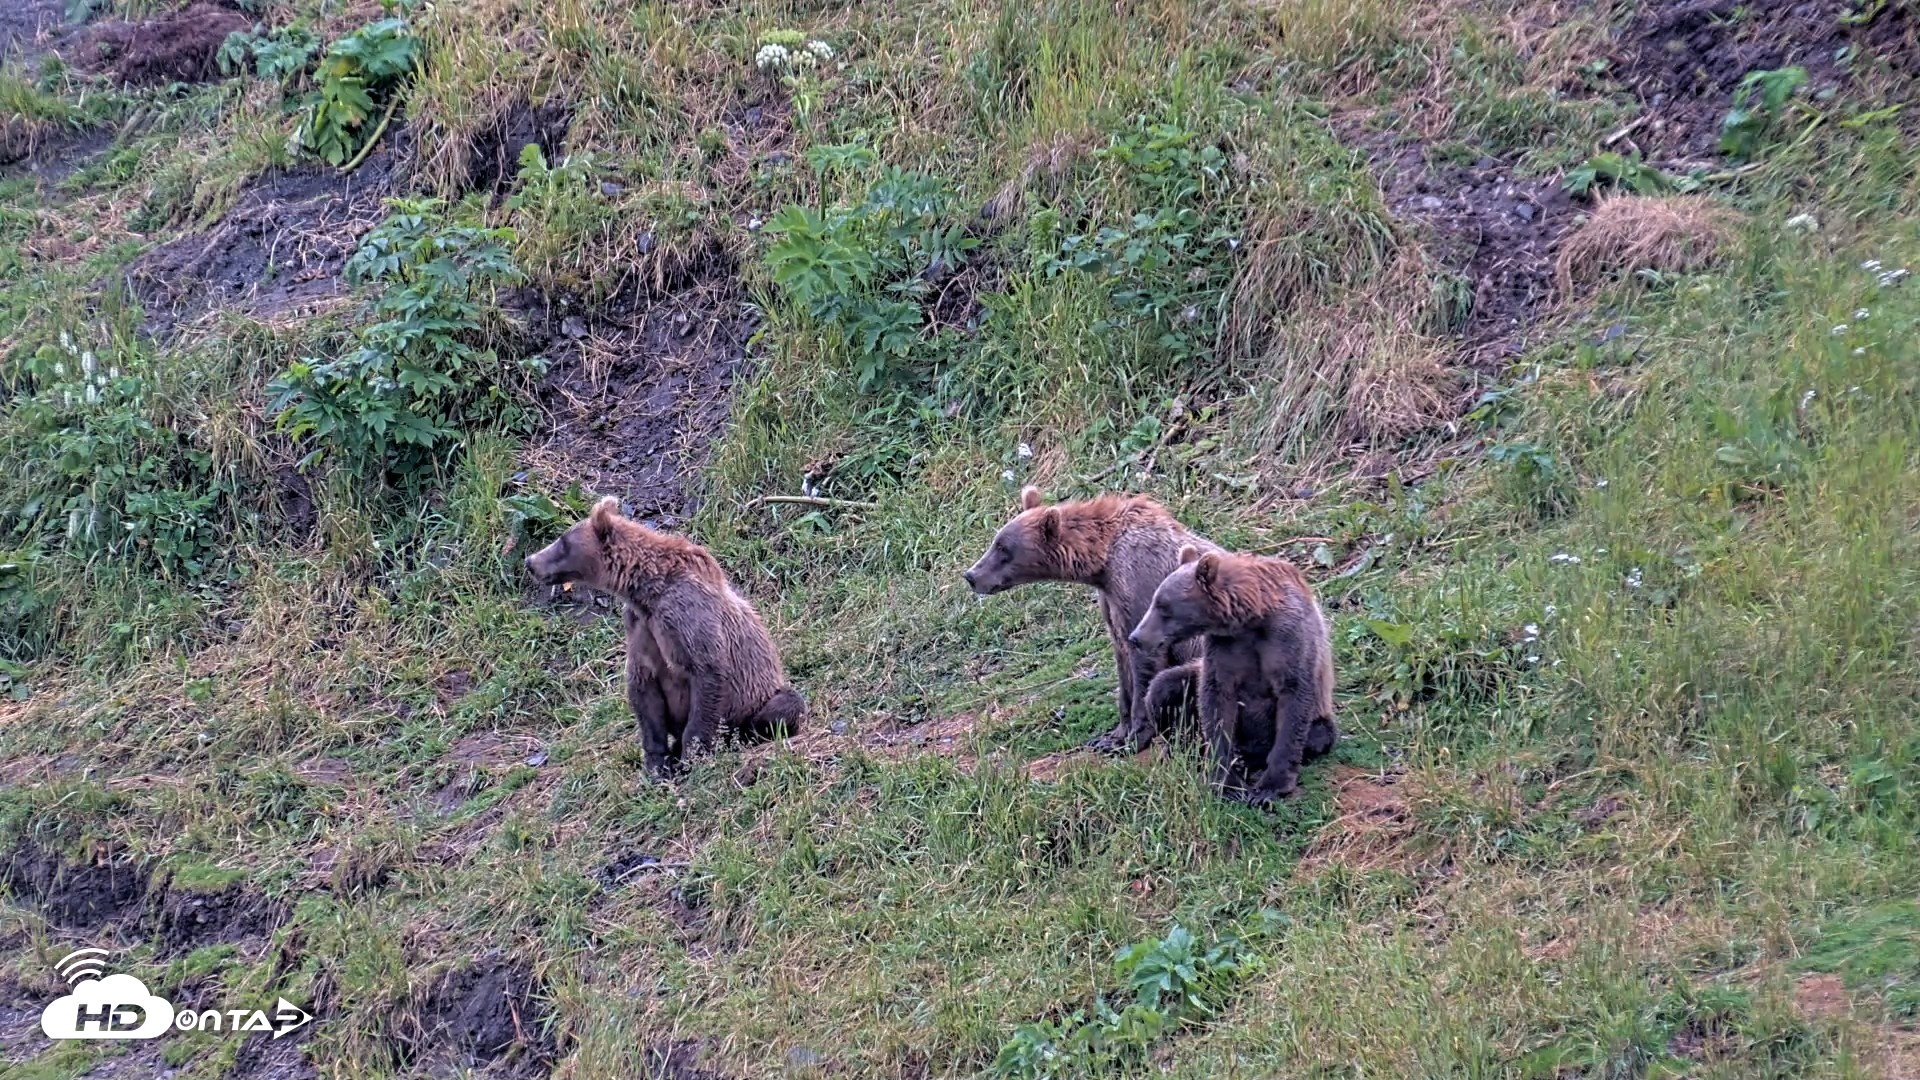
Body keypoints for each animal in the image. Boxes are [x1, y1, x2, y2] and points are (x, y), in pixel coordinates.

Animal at [524, 497, 804, 776]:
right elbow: (644, 691)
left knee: (785, 705)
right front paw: (656, 764)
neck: (646, 591)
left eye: (563, 541)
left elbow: (708, 672)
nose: (530, 561)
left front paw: (689, 758)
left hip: (761, 696)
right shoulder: (640, 628)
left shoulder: (684, 616)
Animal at [963, 486, 1220, 753]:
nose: (971, 575)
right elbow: (1123, 664)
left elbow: (1146, 664)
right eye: (996, 541)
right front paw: (1112, 736)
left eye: (1003, 548)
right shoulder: (1112, 601)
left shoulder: (1141, 585)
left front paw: (1133, 738)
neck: (1103, 563)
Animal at [1128, 545, 1337, 804]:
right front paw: (1227, 783)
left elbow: (1293, 700)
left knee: (1317, 735)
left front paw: (1268, 788)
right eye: (1155, 601)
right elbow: (1216, 700)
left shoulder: (1289, 638)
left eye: (1163, 606)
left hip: (1320, 717)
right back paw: (1187, 750)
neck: (1253, 617)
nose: (1135, 637)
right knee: (1163, 689)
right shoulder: (1224, 648)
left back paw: (1248, 758)